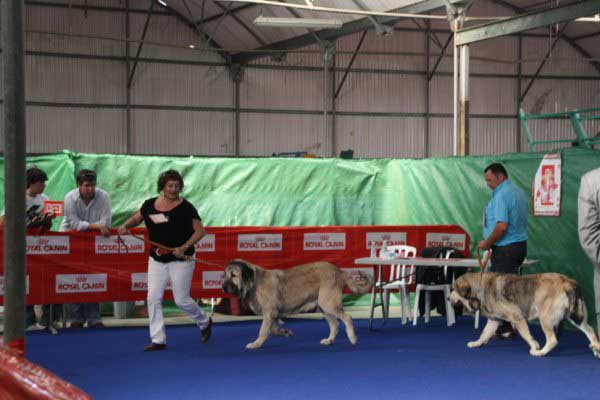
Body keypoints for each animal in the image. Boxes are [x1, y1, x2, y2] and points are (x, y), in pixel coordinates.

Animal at [221, 260, 370, 350]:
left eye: (233, 275)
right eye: (225, 275)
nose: (222, 287)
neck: (254, 283)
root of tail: (339, 271)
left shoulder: (269, 313)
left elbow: (263, 331)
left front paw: (256, 343)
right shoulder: (274, 315)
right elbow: (273, 330)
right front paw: (285, 332)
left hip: (328, 303)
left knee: (347, 317)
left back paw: (352, 338)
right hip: (323, 307)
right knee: (335, 325)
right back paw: (329, 340)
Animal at [450, 270, 600, 358]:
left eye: (452, 289)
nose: (447, 298)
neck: (480, 287)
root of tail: (567, 282)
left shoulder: (517, 318)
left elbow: (526, 336)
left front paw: (534, 346)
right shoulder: (494, 321)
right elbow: (484, 334)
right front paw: (476, 343)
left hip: (545, 319)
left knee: (552, 340)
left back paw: (541, 352)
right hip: (575, 317)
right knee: (590, 331)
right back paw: (596, 348)